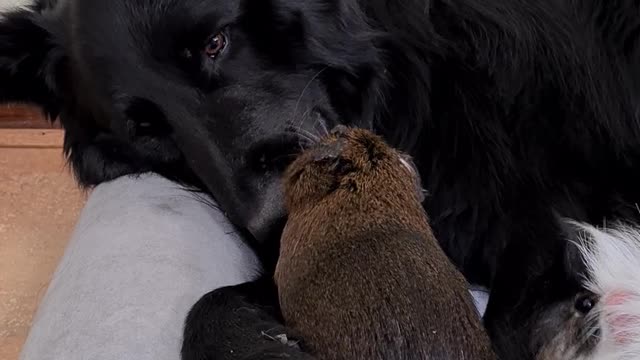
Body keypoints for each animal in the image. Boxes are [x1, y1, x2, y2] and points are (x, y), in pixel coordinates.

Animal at [1, 0, 640, 358]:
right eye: (147, 129)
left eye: (215, 42)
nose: (272, 221)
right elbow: (212, 306)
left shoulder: (541, 230)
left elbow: (507, 326)